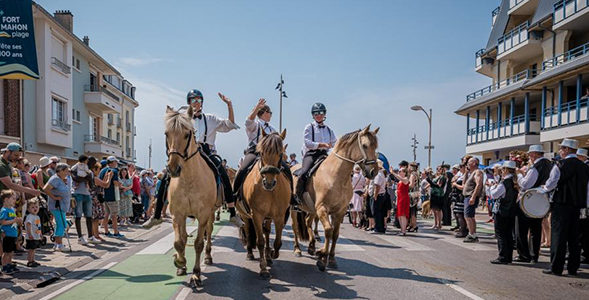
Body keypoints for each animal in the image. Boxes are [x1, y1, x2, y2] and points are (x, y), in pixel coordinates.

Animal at [163, 104, 218, 288]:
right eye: (167, 134)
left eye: (187, 134)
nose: (173, 168)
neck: (188, 179)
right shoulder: (177, 214)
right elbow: (178, 242)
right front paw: (180, 263)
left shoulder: (203, 214)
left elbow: (199, 243)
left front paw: (196, 274)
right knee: (184, 235)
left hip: (210, 214)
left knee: (209, 232)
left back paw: (208, 257)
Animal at [238, 130, 290, 278]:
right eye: (261, 153)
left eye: (280, 154)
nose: (269, 182)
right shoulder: (256, 215)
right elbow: (260, 241)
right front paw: (263, 268)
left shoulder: (279, 216)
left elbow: (277, 241)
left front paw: (272, 254)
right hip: (246, 216)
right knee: (249, 231)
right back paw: (250, 253)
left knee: (266, 232)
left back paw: (268, 255)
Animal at [290, 125, 378, 270]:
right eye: (365, 145)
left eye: (375, 146)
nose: (374, 172)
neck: (335, 176)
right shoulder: (322, 209)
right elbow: (328, 231)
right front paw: (322, 257)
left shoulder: (340, 211)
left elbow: (335, 234)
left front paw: (330, 258)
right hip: (293, 208)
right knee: (295, 226)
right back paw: (297, 249)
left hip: (311, 209)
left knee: (308, 222)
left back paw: (312, 246)